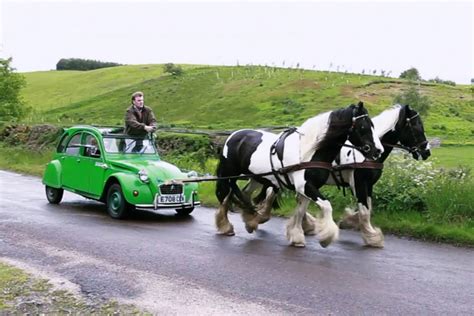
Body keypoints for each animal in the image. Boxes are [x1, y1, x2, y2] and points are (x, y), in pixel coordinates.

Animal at [215, 102, 386, 248]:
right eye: (363, 126)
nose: (378, 150)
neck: (308, 151)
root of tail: (232, 135)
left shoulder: (307, 188)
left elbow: (300, 211)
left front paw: (297, 237)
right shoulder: (305, 186)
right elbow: (326, 206)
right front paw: (326, 237)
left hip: (257, 177)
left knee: (244, 193)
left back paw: (250, 220)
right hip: (229, 174)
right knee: (225, 194)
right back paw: (226, 227)